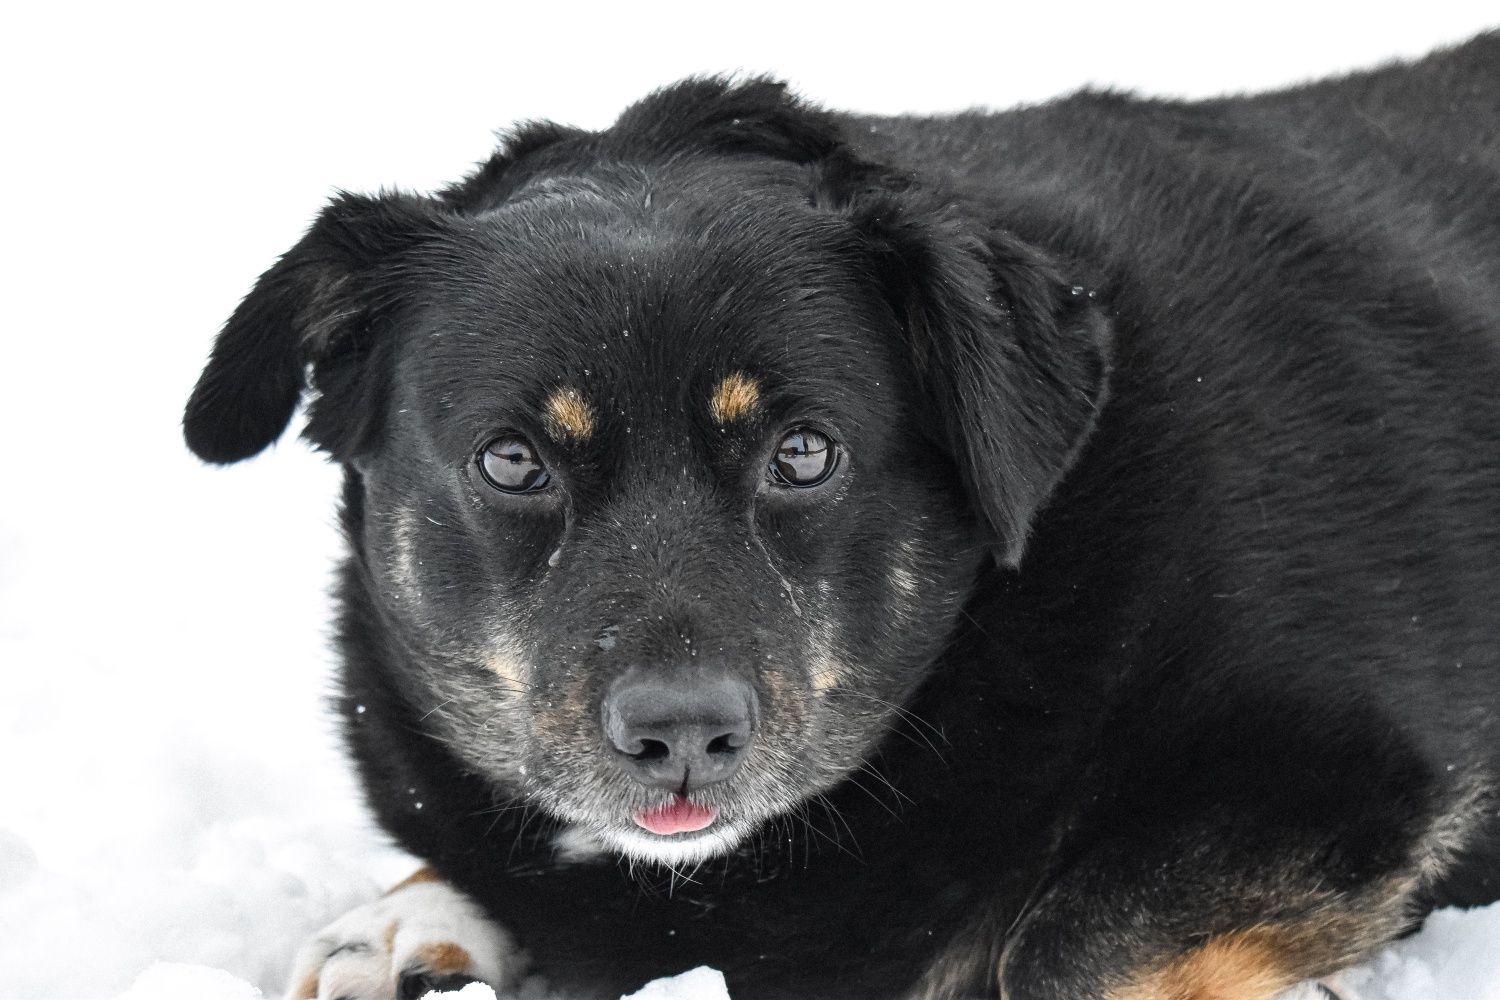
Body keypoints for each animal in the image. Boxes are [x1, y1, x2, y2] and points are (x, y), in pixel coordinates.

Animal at [187, 33, 1500, 1000]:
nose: (680, 730)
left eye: (805, 453)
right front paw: (406, 919)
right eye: (512, 461)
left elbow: (1065, 945)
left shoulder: (1356, 766)